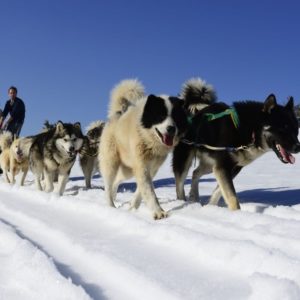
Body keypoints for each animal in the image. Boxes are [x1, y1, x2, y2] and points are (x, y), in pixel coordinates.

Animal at [98, 78, 188, 219]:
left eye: (176, 117)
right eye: (160, 116)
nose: (171, 129)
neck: (148, 139)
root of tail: (117, 114)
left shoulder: (151, 169)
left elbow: (141, 190)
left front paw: (133, 207)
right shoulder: (142, 167)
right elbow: (149, 191)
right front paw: (158, 212)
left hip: (127, 170)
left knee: (116, 181)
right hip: (111, 163)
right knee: (108, 185)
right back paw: (110, 206)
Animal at [172, 79, 298, 211]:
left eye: (296, 130)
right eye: (283, 129)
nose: (298, 147)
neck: (250, 130)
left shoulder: (232, 168)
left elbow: (219, 191)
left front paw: (211, 207)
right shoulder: (223, 167)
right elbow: (231, 195)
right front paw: (236, 213)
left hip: (210, 165)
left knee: (195, 173)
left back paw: (194, 198)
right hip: (184, 160)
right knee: (180, 184)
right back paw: (182, 202)